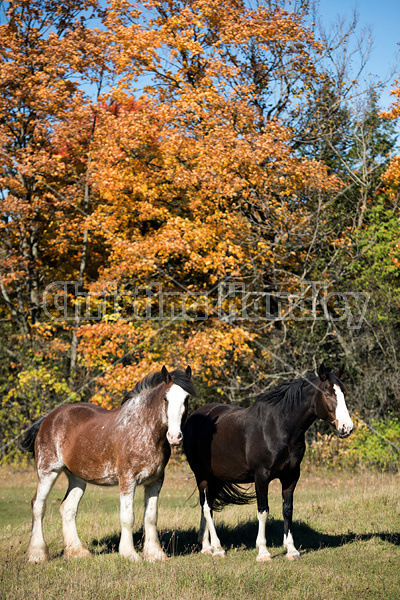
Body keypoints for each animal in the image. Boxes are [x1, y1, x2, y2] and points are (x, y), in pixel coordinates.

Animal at [20, 364, 195, 564]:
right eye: (166, 398)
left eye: (186, 398)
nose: (175, 437)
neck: (144, 429)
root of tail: (48, 418)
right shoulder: (127, 479)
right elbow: (127, 517)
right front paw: (129, 554)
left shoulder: (155, 481)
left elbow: (151, 517)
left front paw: (155, 554)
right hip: (48, 471)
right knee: (38, 505)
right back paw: (37, 554)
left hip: (77, 478)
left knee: (68, 508)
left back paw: (77, 551)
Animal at [183, 364, 352, 560]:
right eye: (327, 394)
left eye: (344, 392)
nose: (347, 427)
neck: (278, 427)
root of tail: (195, 416)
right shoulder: (261, 476)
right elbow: (263, 511)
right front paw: (263, 551)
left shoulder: (291, 476)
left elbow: (287, 510)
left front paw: (291, 549)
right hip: (201, 474)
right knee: (206, 507)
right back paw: (217, 548)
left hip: (217, 478)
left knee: (207, 505)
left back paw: (206, 546)